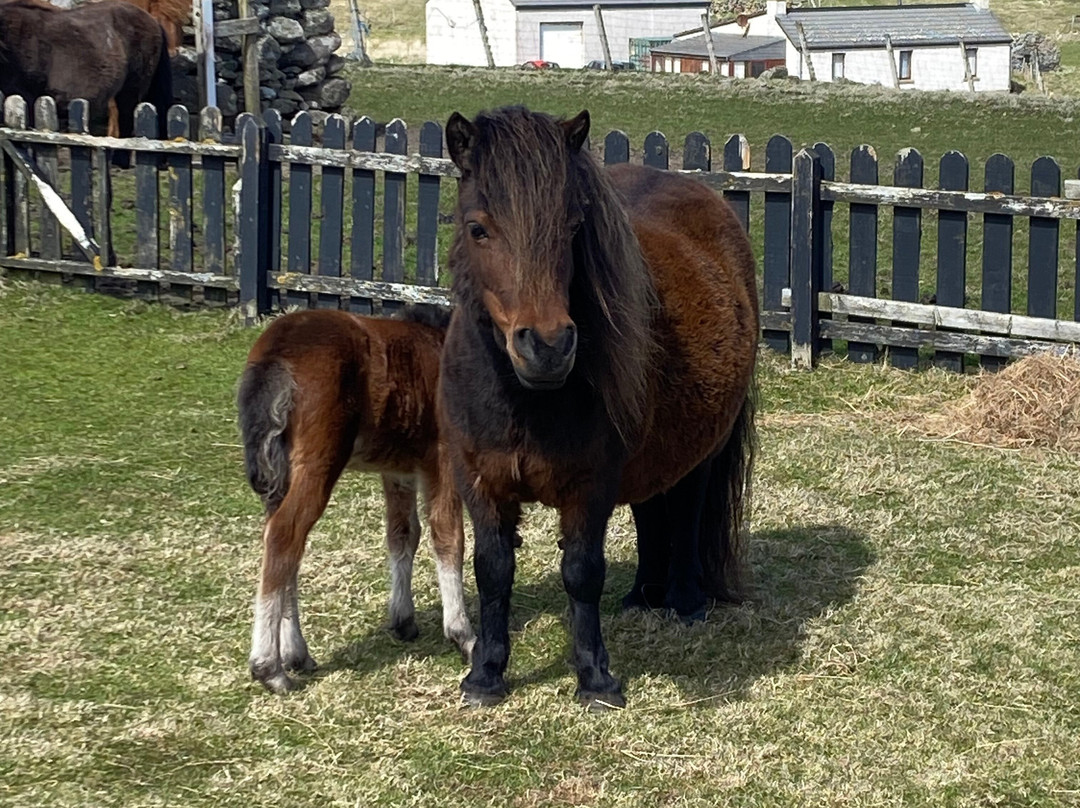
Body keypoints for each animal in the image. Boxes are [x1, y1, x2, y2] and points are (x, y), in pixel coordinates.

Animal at [238, 306, 475, 695]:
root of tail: (275, 350)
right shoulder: (443, 457)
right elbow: (448, 536)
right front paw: (463, 634)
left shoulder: (398, 470)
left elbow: (402, 535)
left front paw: (403, 620)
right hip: (318, 462)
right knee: (284, 536)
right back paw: (269, 667)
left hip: (280, 474)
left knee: (288, 549)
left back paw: (296, 654)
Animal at [439, 105, 759, 710]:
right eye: (477, 228)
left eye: (572, 228)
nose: (546, 346)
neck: (526, 400)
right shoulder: (479, 483)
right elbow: (493, 573)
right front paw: (485, 675)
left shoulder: (589, 488)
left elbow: (581, 572)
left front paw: (595, 678)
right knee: (652, 508)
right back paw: (642, 595)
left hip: (701, 450)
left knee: (687, 509)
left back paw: (685, 601)